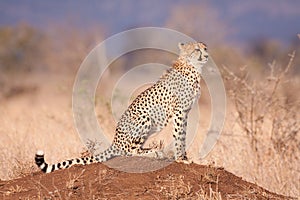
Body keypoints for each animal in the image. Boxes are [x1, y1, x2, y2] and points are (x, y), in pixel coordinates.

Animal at [35, 41, 209, 173]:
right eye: (197, 49)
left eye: (205, 48)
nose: (207, 55)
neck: (192, 67)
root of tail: (115, 141)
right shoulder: (179, 111)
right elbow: (179, 135)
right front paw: (181, 159)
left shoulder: (185, 112)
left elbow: (183, 134)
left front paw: (185, 157)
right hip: (144, 117)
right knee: (130, 151)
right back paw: (154, 153)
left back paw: (156, 151)